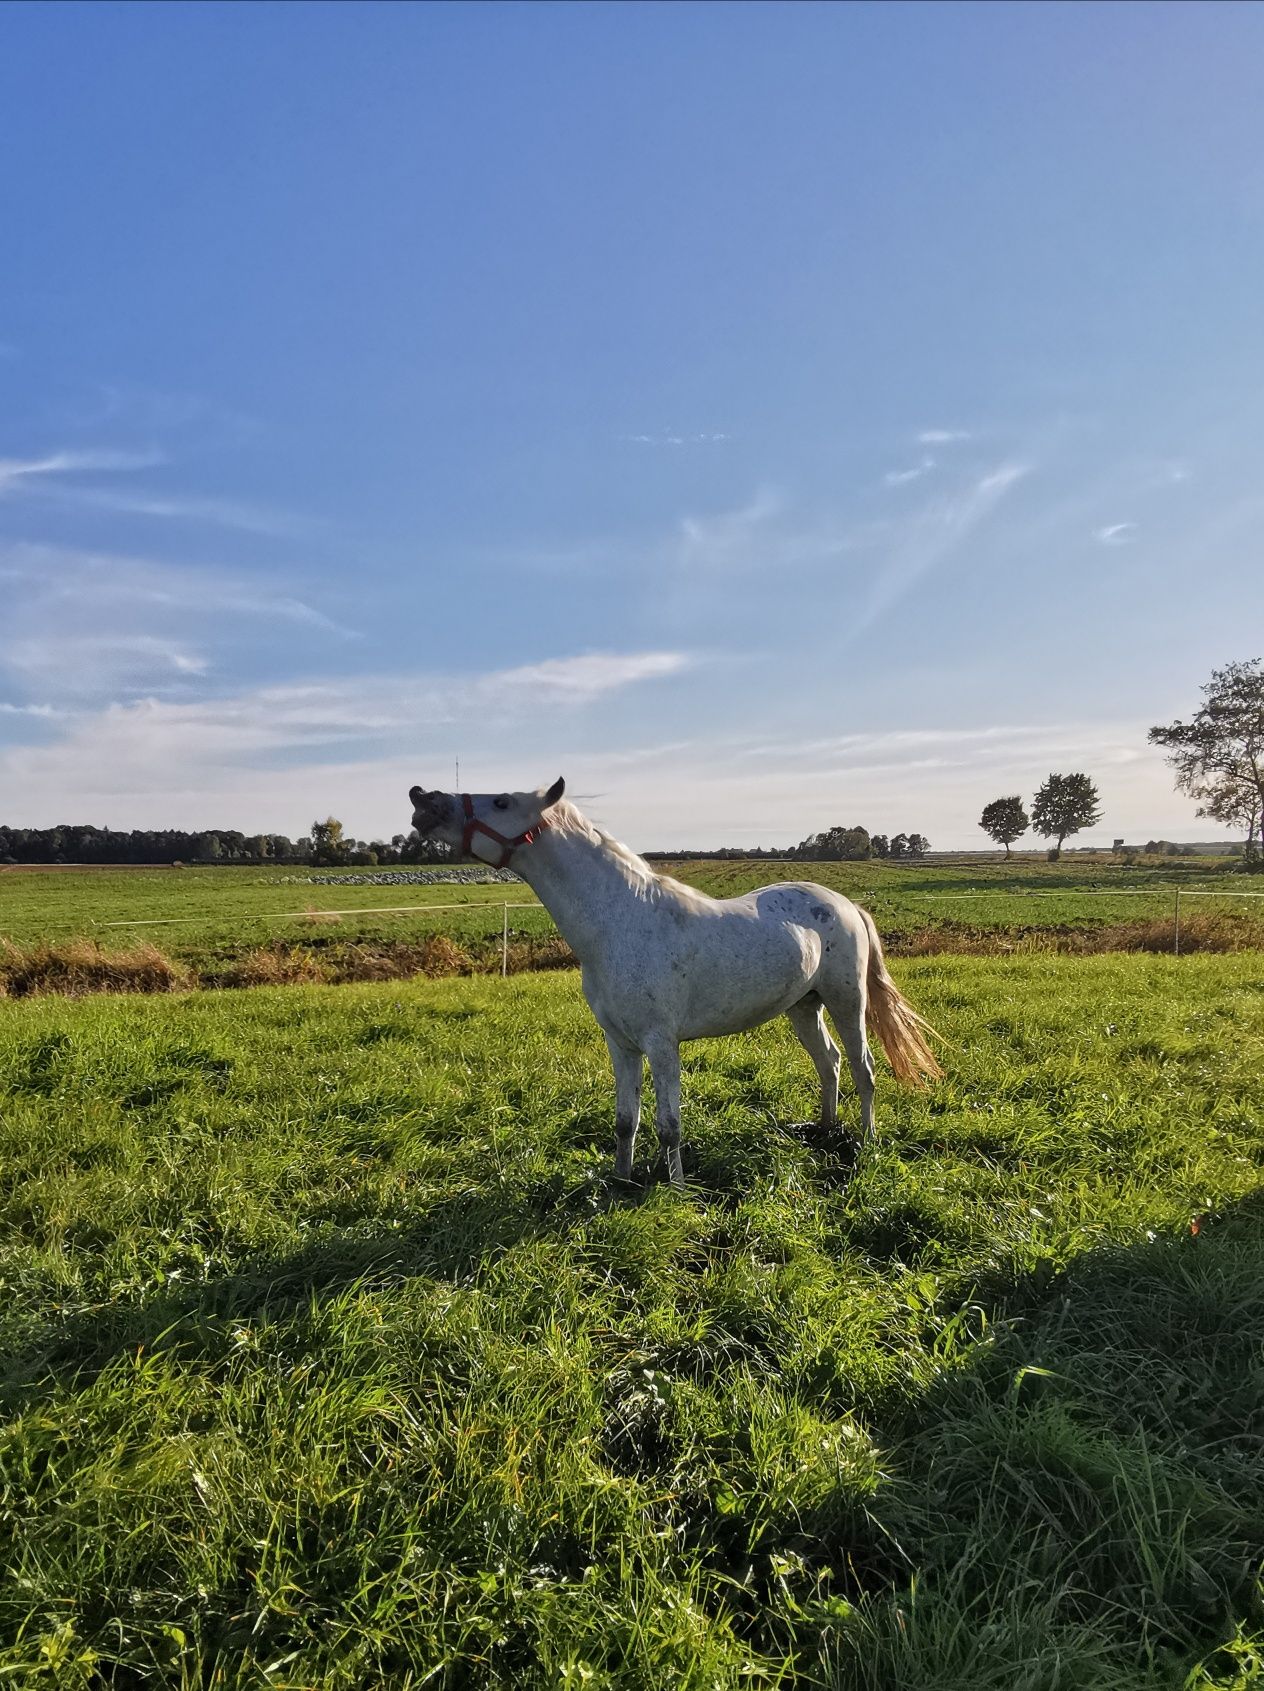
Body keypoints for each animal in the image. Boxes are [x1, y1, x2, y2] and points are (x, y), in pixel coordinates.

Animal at [406, 777, 940, 1190]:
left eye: (501, 801)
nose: (422, 798)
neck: (621, 921)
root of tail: (847, 904)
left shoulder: (661, 1043)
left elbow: (669, 1126)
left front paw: (678, 1190)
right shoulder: (620, 1043)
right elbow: (626, 1120)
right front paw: (621, 1181)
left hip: (847, 1002)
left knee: (863, 1069)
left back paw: (866, 1142)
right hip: (803, 1006)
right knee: (828, 1063)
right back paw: (823, 1131)